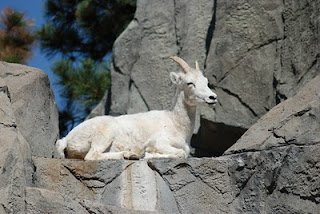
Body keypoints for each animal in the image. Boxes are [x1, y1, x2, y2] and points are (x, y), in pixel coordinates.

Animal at [57, 56, 218, 160]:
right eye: (189, 83)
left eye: (206, 81)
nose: (213, 97)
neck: (176, 124)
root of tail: (67, 138)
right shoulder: (160, 142)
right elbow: (181, 153)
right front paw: (147, 153)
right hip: (105, 133)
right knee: (92, 156)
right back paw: (129, 154)